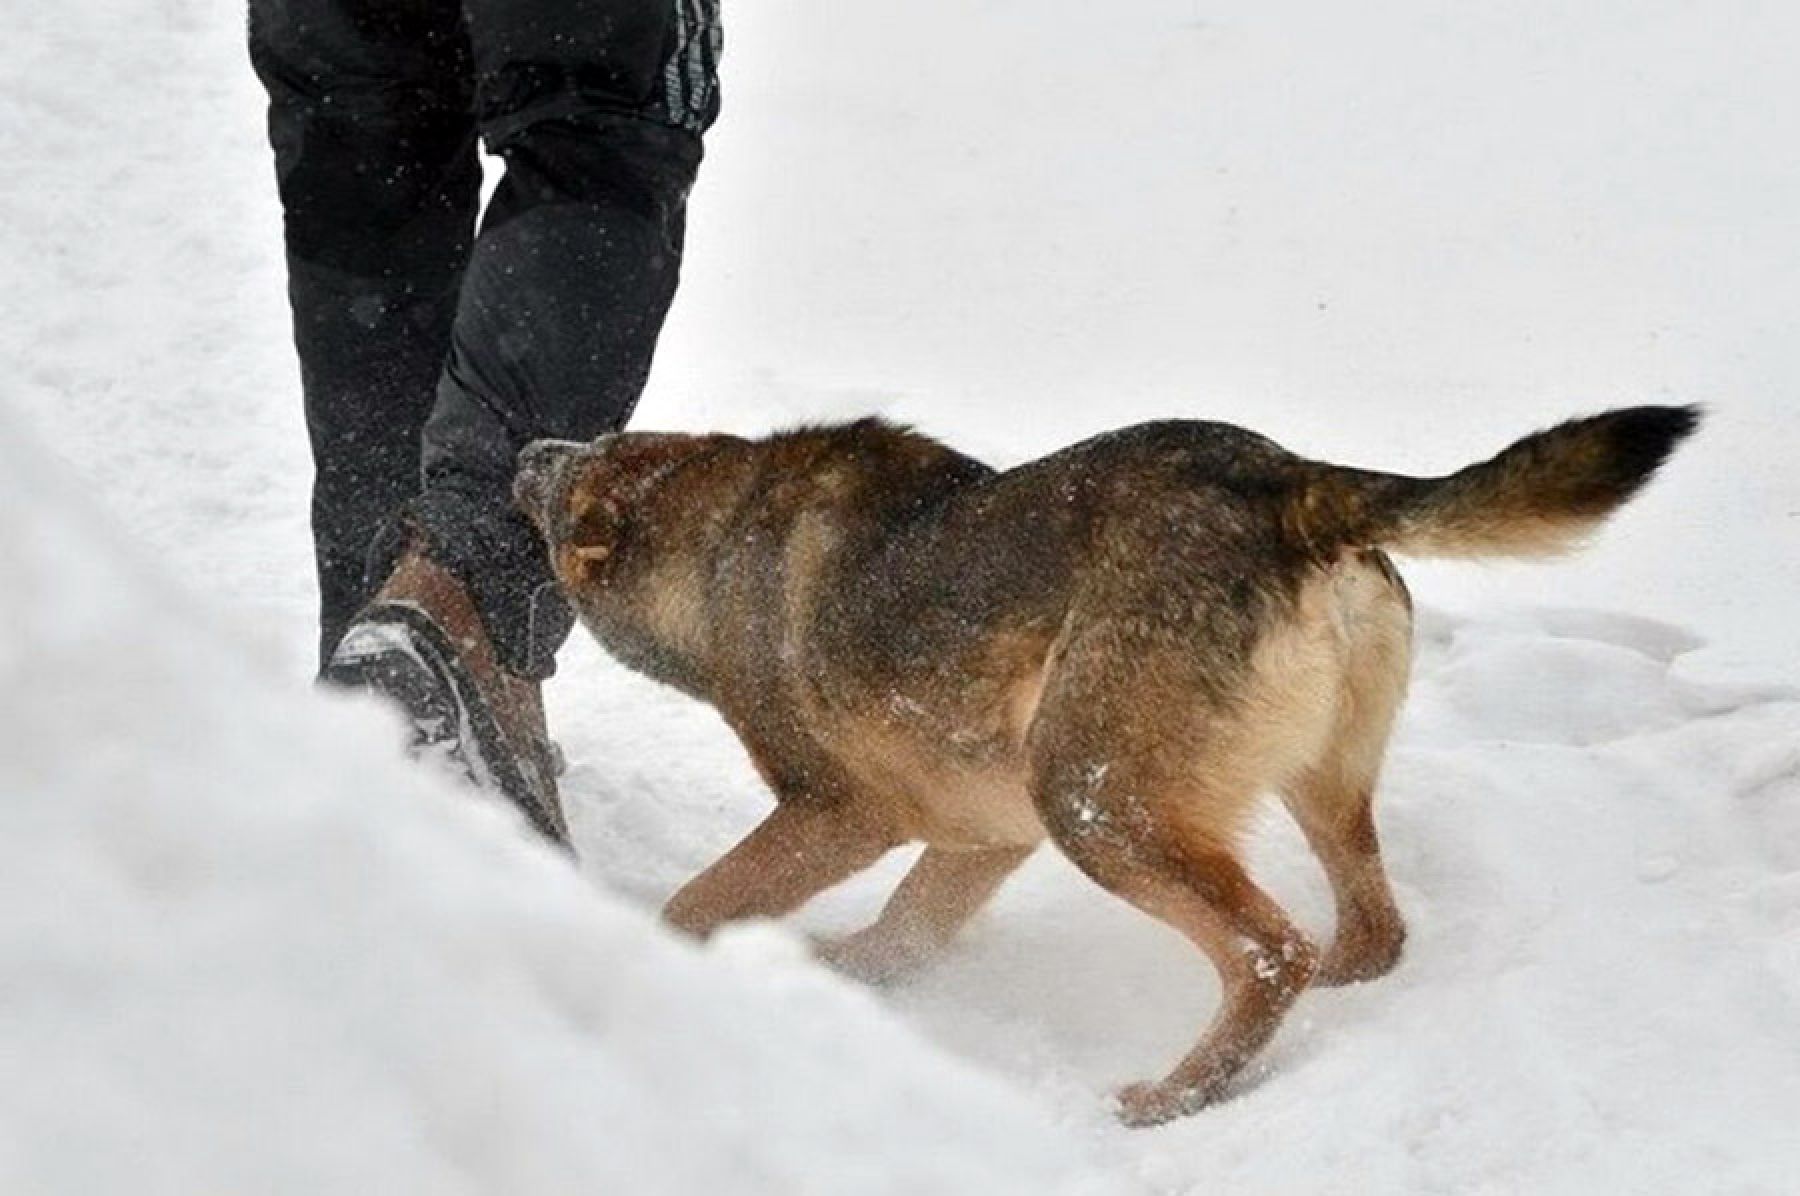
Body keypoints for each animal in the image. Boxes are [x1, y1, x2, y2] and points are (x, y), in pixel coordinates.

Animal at [511, 407, 1699, 1123]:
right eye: (592, 439)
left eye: (562, 491)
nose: (525, 448)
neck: (716, 542)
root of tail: (1287, 480)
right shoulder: (983, 834)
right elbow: (898, 934)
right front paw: (829, 979)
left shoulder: (841, 811)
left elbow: (697, 902)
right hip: (1301, 788)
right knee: (1363, 933)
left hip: (1093, 804)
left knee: (1272, 951)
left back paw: (1172, 1097)